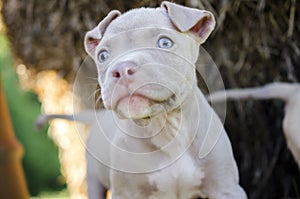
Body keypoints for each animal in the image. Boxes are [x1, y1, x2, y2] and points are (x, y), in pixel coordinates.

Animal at [38, 1, 247, 199]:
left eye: (165, 43)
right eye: (103, 55)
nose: (121, 69)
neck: (166, 130)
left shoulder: (227, 189)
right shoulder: (125, 192)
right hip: (93, 176)